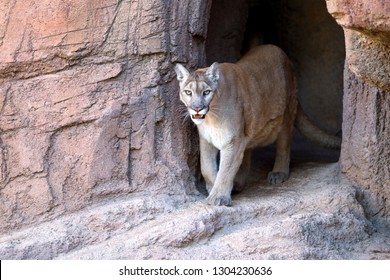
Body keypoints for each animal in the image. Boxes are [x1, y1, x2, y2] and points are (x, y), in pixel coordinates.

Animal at [175, 44, 340, 206]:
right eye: (188, 92)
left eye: (207, 92)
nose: (197, 108)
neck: (211, 118)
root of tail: (280, 52)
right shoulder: (206, 140)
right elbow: (206, 167)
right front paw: (213, 187)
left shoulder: (233, 141)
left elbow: (225, 170)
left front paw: (218, 197)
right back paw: (238, 183)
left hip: (285, 113)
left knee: (284, 145)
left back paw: (279, 173)